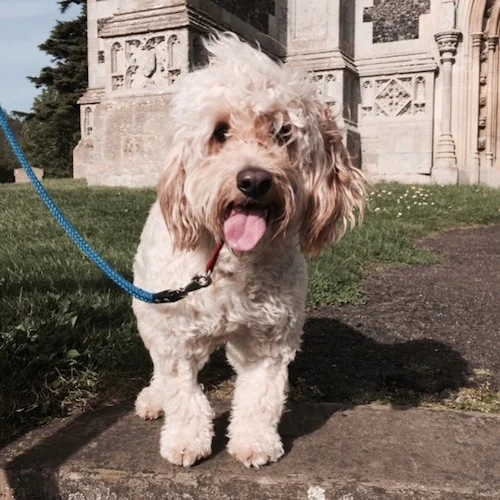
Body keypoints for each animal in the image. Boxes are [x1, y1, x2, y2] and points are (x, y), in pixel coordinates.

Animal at [132, 33, 368, 466]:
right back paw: (154, 399)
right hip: (150, 312)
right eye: (220, 132)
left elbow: (260, 396)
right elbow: (184, 393)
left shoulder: (269, 340)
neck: (231, 263)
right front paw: (185, 441)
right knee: (159, 366)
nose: (254, 181)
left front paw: (255, 441)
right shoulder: (177, 338)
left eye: (283, 132)